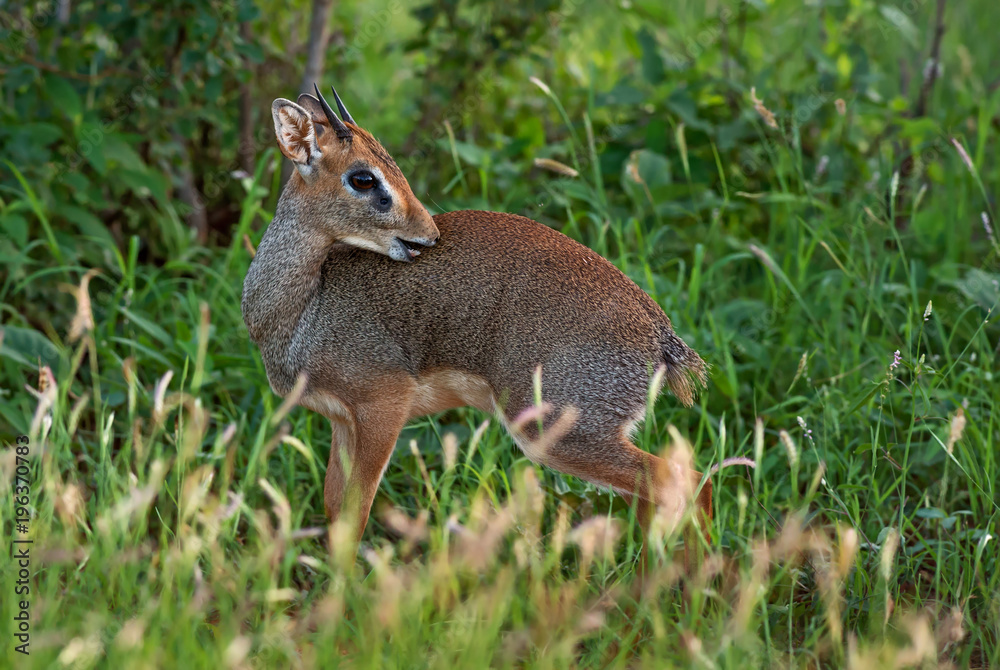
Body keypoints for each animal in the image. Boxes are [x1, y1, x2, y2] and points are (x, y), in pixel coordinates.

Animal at [242, 84, 712, 552]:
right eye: (363, 176)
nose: (428, 234)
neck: (302, 311)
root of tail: (660, 336)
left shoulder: (383, 406)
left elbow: (354, 515)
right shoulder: (341, 420)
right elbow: (334, 508)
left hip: (556, 433)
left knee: (690, 483)